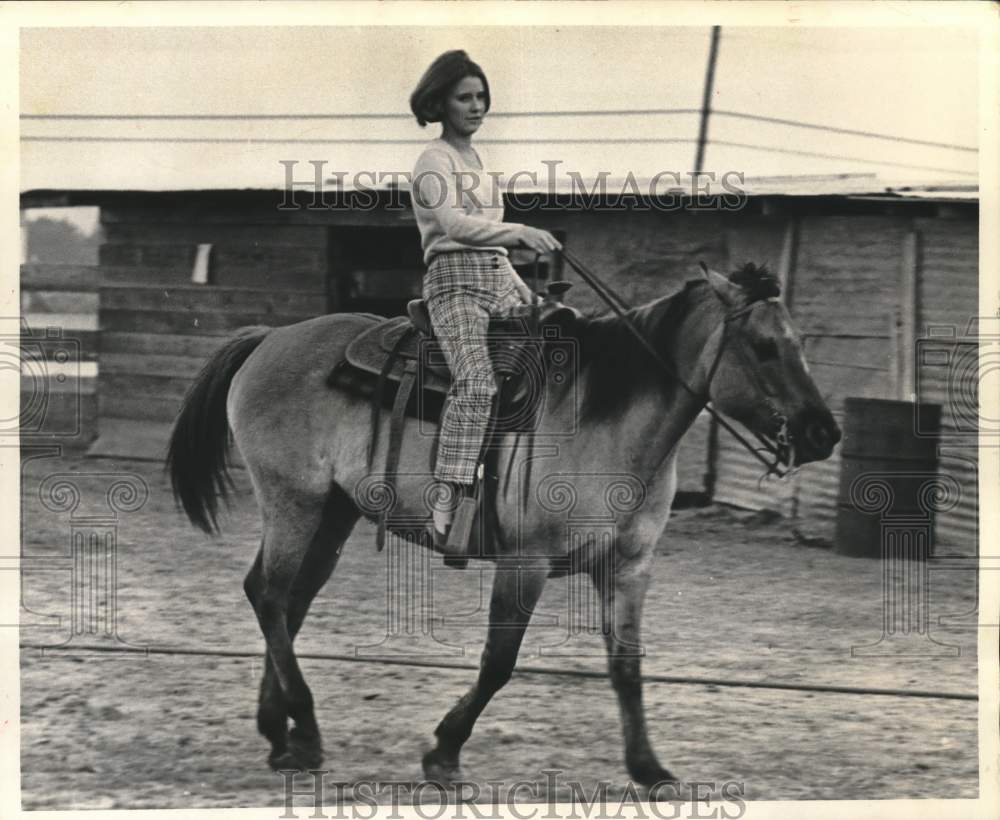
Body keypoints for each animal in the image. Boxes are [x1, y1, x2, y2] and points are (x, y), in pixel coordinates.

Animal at [168, 262, 840, 788]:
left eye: (801, 342)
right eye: (764, 347)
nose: (823, 433)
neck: (605, 417)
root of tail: (270, 338)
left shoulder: (628, 568)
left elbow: (627, 665)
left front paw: (649, 768)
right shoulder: (526, 563)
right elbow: (499, 662)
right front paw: (443, 752)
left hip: (333, 512)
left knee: (289, 601)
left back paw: (279, 732)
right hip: (294, 502)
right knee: (270, 594)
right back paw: (304, 733)